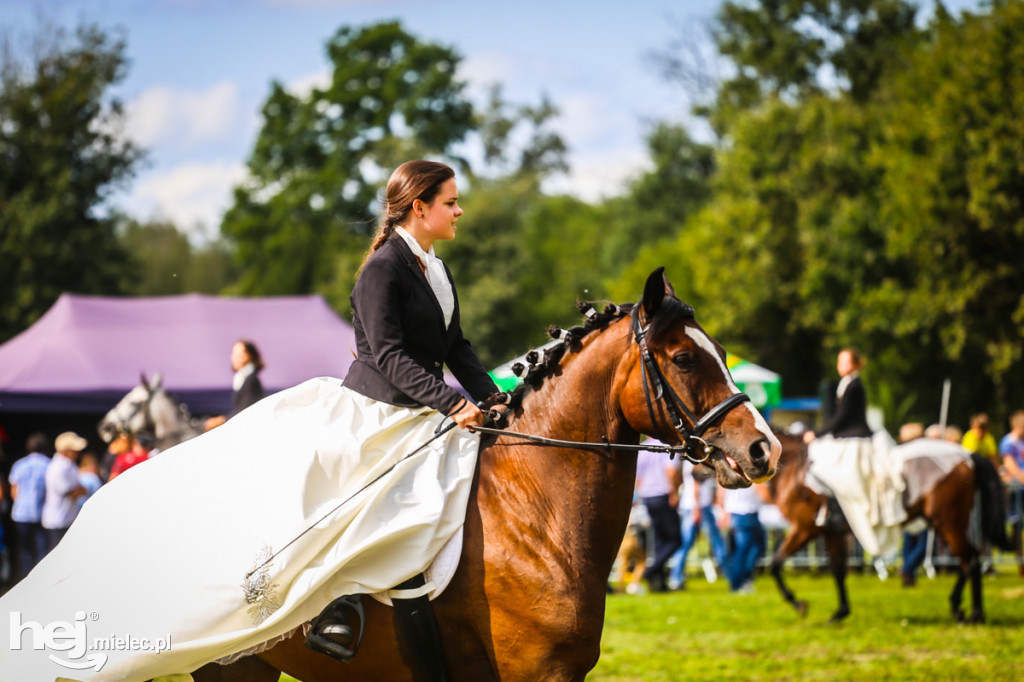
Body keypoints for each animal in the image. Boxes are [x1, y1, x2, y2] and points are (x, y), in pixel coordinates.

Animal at [770, 430, 1007, 622]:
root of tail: (968, 455)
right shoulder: (830, 533)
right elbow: (837, 570)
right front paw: (840, 612)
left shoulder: (804, 529)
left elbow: (776, 564)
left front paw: (798, 603)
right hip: (946, 524)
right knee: (969, 560)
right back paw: (960, 608)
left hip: (949, 523)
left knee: (971, 561)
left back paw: (974, 614)